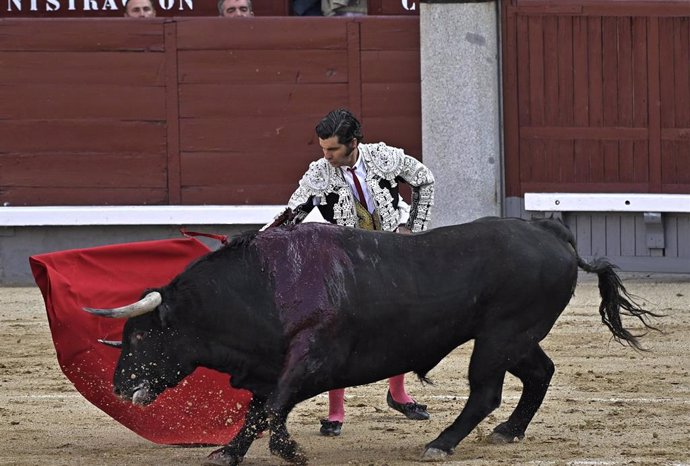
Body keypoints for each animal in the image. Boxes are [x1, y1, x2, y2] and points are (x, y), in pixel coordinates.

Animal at [82, 217, 656, 464]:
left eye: (141, 336)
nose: (120, 387)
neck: (262, 286)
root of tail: (553, 232)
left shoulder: (311, 356)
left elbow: (274, 406)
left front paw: (286, 450)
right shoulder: (272, 364)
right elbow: (261, 408)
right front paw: (230, 451)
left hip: (500, 337)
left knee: (485, 392)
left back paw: (441, 443)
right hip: (516, 338)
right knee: (540, 373)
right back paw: (508, 433)